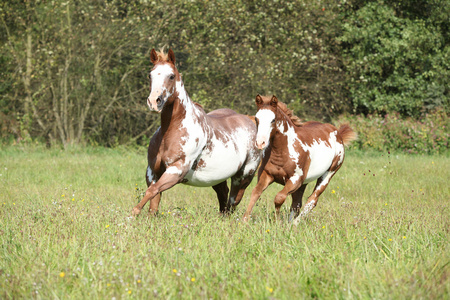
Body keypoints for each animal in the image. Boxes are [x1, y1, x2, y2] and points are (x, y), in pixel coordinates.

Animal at [244, 95, 356, 224]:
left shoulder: (295, 180)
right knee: (297, 203)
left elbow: (279, 198)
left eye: (273, 120)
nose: (260, 143)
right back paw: (290, 223)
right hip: (303, 184)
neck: (281, 152)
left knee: (312, 200)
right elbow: (255, 193)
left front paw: (277, 221)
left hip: (328, 174)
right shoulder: (267, 175)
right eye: (256, 119)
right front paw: (244, 220)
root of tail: (337, 132)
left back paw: (295, 223)